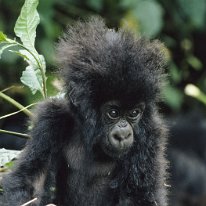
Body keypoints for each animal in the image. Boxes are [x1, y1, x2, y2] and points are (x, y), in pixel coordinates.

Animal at [2, 18, 168, 206]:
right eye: (113, 113)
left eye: (134, 113)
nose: (124, 134)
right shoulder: (50, 119)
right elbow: (28, 178)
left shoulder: (151, 135)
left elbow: (142, 196)